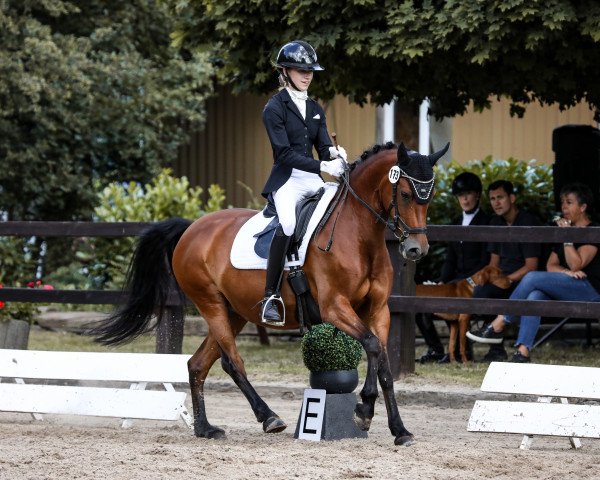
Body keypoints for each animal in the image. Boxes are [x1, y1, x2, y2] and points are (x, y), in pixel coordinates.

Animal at [89, 142, 446, 446]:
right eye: (404, 194)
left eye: (429, 198)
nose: (416, 250)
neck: (359, 236)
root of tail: (192, 228)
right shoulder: (334, 308)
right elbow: (371, 347)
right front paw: (363, 412)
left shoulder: (378, 310)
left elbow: (383, 364)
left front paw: (399, 430)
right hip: (210, 303)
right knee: (232, 362)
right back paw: (268, 417)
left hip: (234, 311)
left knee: (197, 364)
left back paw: (205, 428)